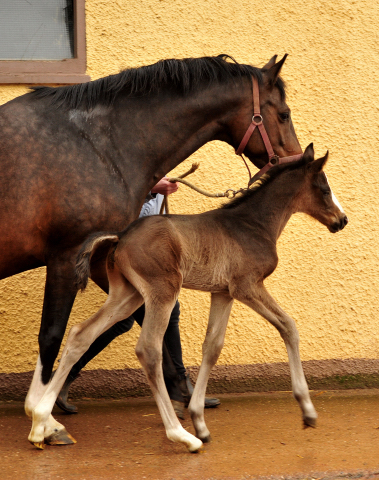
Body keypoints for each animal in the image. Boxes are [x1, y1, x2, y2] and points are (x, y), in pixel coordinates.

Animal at [29, 144, 348, 452]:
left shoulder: (223, 293)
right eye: (324, 189)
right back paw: (181, 436)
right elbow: (289, 326)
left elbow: (212, 347)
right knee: (148, 349)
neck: (252, 224)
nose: (342, 220)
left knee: (81, 334)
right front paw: (307, 410)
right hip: (163, 290)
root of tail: (120, 236)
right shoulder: (247, 286)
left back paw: (42, 421)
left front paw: (200, 421)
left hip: (127, 294)